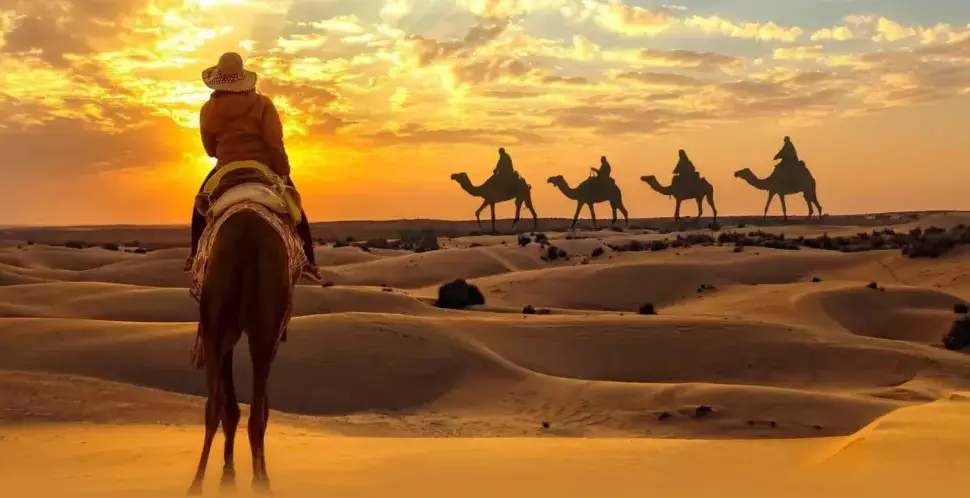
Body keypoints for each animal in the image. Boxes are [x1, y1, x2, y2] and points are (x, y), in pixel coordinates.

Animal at [187, 207, 296, 495]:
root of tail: (248, 234)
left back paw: (199, 483)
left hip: (222, 324)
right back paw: (256, 481)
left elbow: (234, 408)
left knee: (219, 403)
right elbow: (243, 408)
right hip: (254, 325)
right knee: (249, 410)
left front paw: (229, 477)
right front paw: (231, 477)